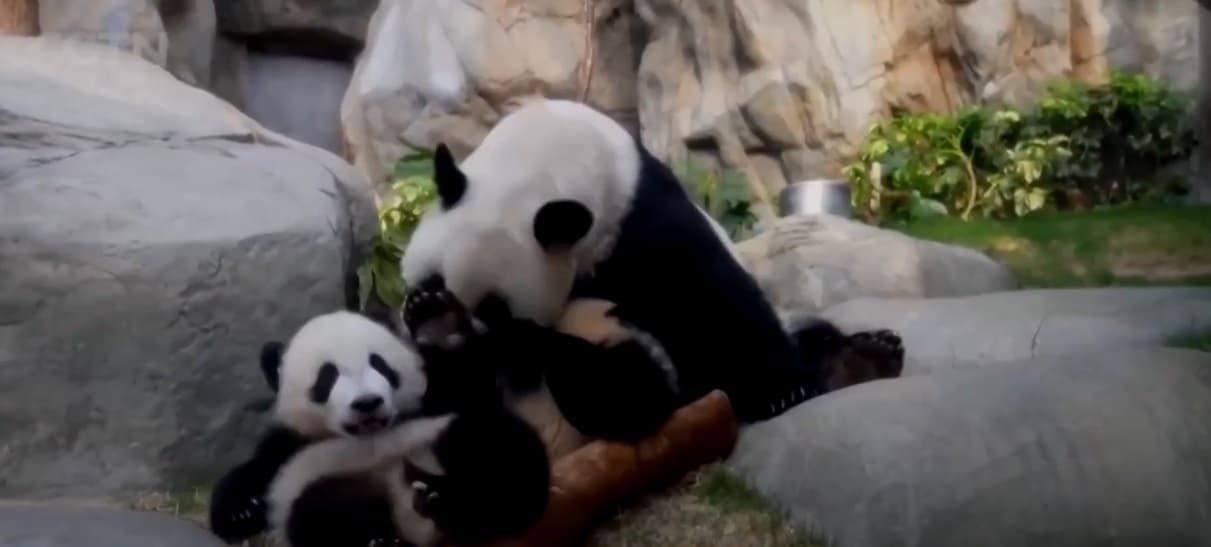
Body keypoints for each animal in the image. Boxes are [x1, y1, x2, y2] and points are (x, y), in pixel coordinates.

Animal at [208, 310, 551, 547]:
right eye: (327, 377)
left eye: (380, 364)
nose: (367, 402)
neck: (370, 436)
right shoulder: (292, 446)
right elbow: (253, 478)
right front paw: (243, 509)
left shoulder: (434, 402)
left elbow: (475, 386)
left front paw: (441, 325)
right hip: (322, 483)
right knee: (321, 512)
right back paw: (382, 538)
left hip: (448, 438)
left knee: (500, 449)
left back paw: (457, 500)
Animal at [399, 98, 904, 441]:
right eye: (431, 280)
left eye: (496, 308)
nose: (480, 346)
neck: (538, 164)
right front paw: (437, 327)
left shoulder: (636, 216)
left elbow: (710, 295)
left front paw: (784, 389)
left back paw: (859, 359)